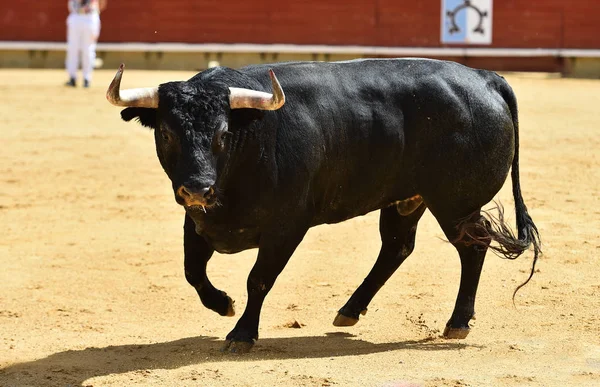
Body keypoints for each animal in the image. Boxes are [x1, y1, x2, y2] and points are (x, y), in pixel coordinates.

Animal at [106, 58, 540, 354]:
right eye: (166, 132)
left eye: (223, 133)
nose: (198, 189)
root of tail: (486, 78)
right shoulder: (196, 221)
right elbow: (192, 272)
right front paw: (223, 305)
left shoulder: (287, 227)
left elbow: (258, 279)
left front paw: (242, 334)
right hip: (407, 199)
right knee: (397, 247)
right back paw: (349, 310)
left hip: (455, 203)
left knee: (473, 246)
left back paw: (458, 322)